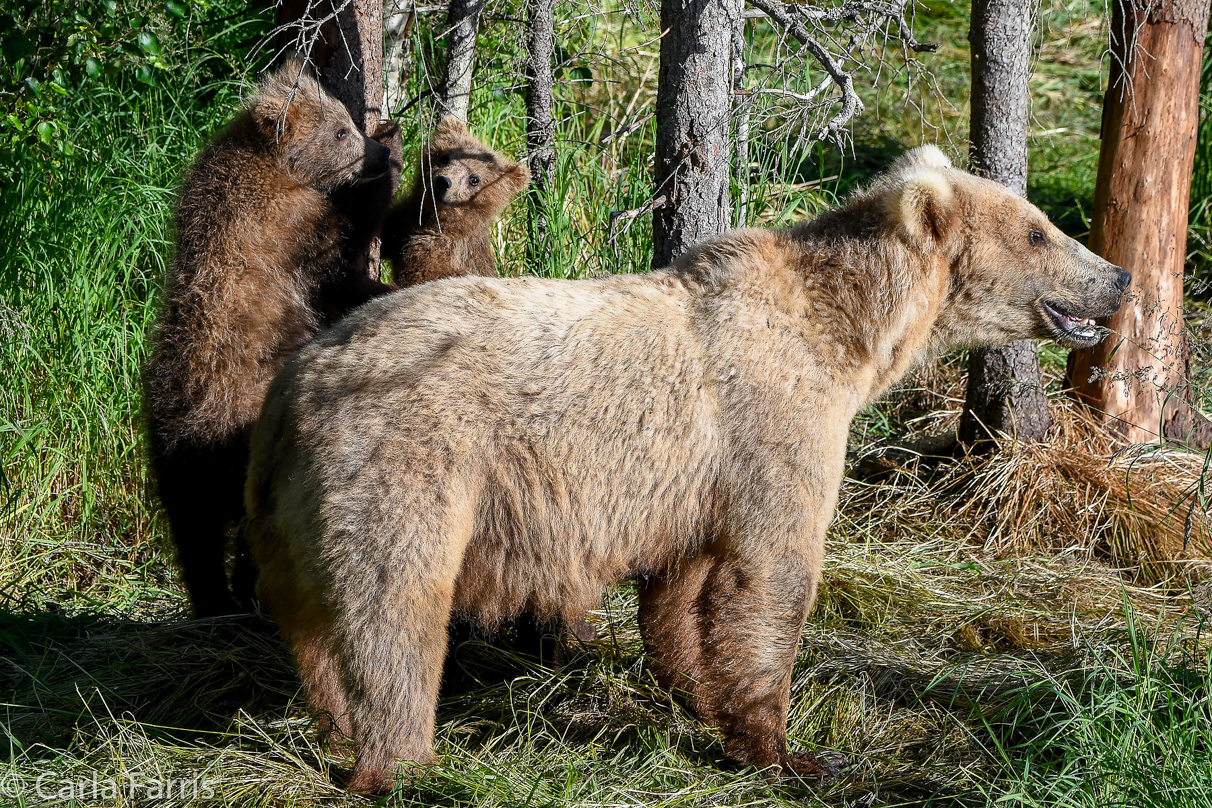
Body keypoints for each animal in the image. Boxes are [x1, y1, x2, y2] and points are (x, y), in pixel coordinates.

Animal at [243, 147, 1124, 794]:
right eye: (1041, 230)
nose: (1117, 277)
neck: (851, 335)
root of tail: (296, 385)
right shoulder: (771, 424)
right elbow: (770, 575)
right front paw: (789, 749)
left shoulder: (695, 480)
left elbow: (682, 589)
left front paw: (699, 695)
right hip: (404, 461)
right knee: (396, 606)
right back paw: (402, 761)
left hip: (283, 505)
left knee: (309, 619)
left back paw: (335, 727)